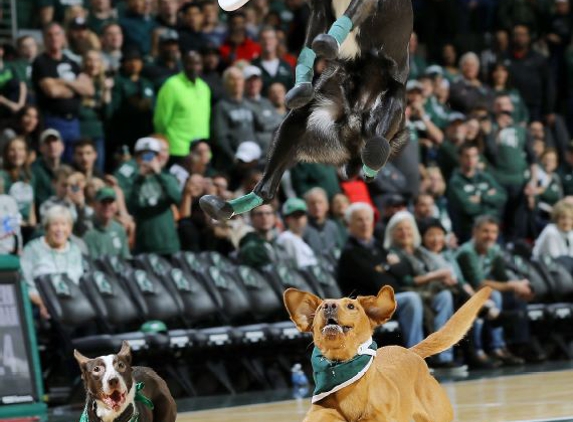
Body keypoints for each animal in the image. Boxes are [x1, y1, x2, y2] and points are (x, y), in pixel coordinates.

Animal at [200, 0, 412, 221]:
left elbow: (347, 18)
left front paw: (327, 43)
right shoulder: (319, 11)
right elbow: (309, 47)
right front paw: (301, 87)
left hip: (388, 107)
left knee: (377, 141)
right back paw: (224, 206)